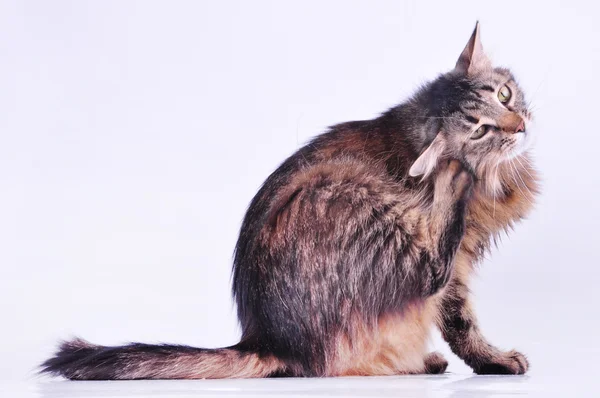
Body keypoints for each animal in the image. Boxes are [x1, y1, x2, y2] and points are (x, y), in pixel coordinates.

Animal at [42, 21, 540, 380]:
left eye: (505, 94)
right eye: (480, 130)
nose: (519, 127)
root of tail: (266, 338)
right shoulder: (455, 270)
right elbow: (462, 322)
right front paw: (494, 360)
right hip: (350, 189)